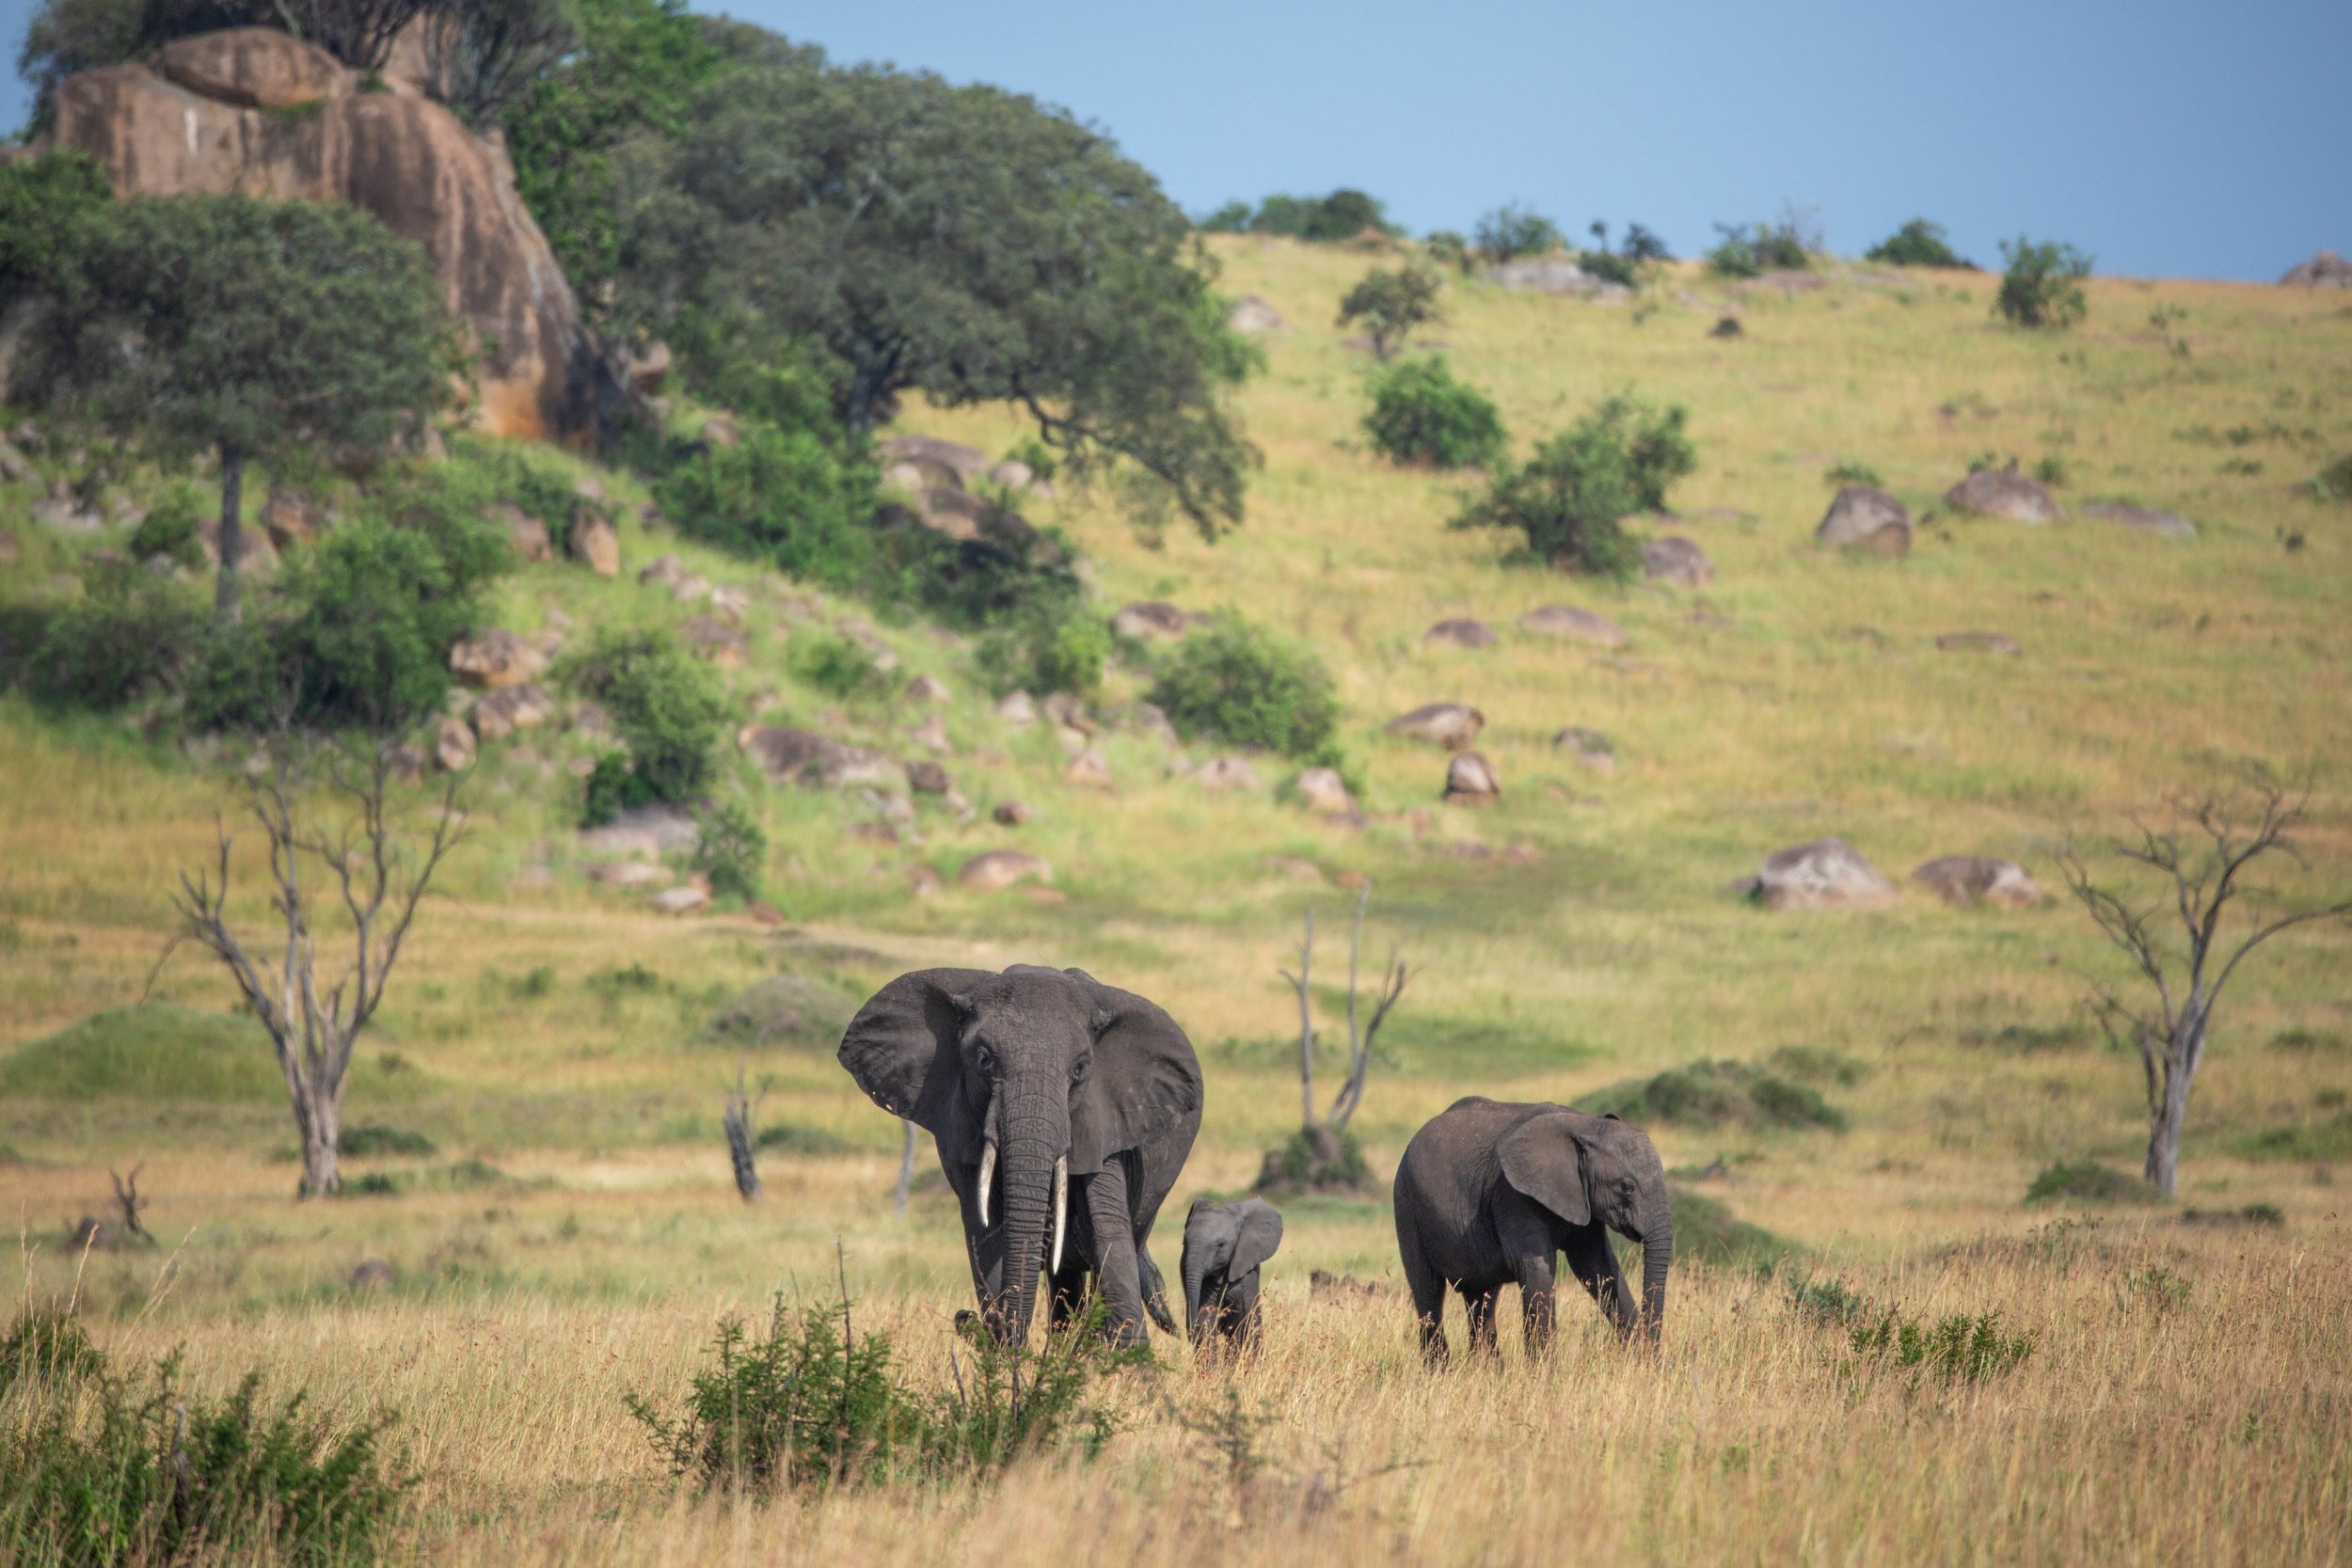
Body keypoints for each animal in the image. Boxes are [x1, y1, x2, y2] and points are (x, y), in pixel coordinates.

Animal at [839, 964, 1202, 1348]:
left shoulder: (1105, 1119)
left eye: (1080, 1069)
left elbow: (1108, 1232)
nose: (964, 1317)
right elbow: (986, 1235)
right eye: (983, 1060)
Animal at [1180, 1197, 1284, 1353]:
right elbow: (1206, 1318)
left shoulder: (1245, 1268)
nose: (1190, 1333)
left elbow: (1243, 1318)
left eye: (1221, 1244)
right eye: (1184, 1242)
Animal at [1392, 1097, 1672, 1361]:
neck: (1585, 1126)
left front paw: (1647, 1363)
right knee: (1428, 1291)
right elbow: (1537, 1268)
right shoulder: (1513, 1195)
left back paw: (1487, 1369)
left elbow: (1598, 1267)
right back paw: (1439, 1370)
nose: (1656, 1351)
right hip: (1406, 1205)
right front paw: (1544, 1373)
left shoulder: (1582, 1198)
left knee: (1482, 1298)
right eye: (1627, 1187)